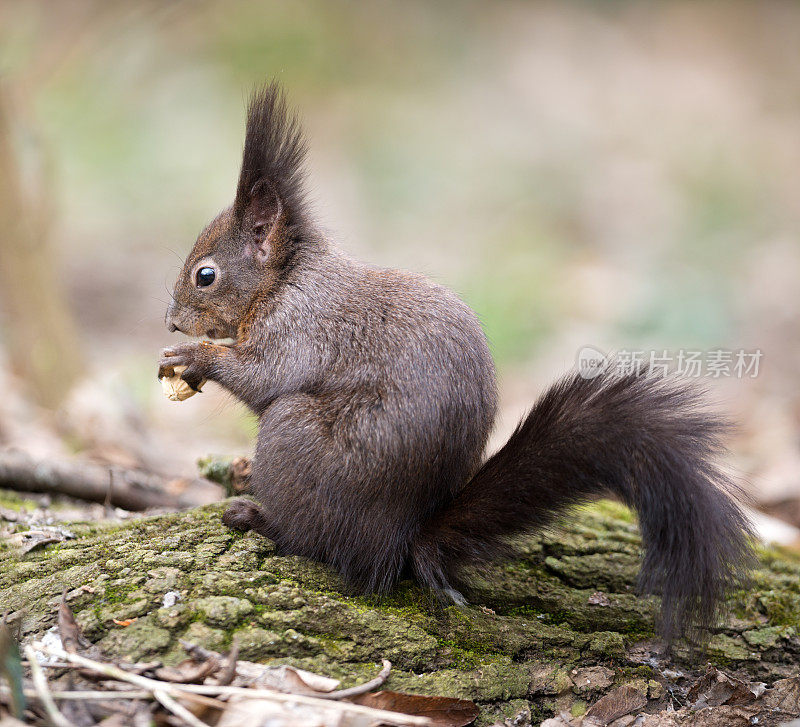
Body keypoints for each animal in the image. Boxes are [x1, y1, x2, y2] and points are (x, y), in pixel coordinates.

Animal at [162, 82, 756, 644]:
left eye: (205, 276)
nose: (170, 321)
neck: (284, 280)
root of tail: (399, 539)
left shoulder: (300, 328)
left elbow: (265, 377)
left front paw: (193, 358)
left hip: (295, 438)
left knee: (315, 542)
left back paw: (258, 517)